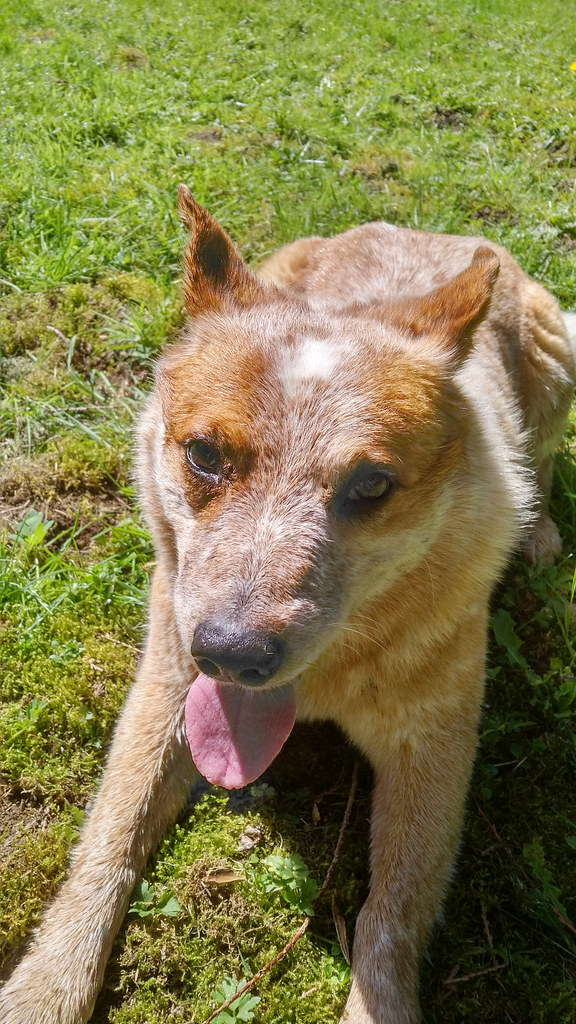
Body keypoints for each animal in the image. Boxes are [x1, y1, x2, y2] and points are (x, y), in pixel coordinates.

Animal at [1, 186, 573, 1024]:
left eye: (371, 485)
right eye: (205, 454)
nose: (232, 655)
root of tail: (423, 231)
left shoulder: (434, 746)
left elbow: (392, 914)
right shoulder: (165, 684)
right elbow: (106, 838)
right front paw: (45, 989)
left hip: (557, 341)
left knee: (548, 453)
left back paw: (542, 529)